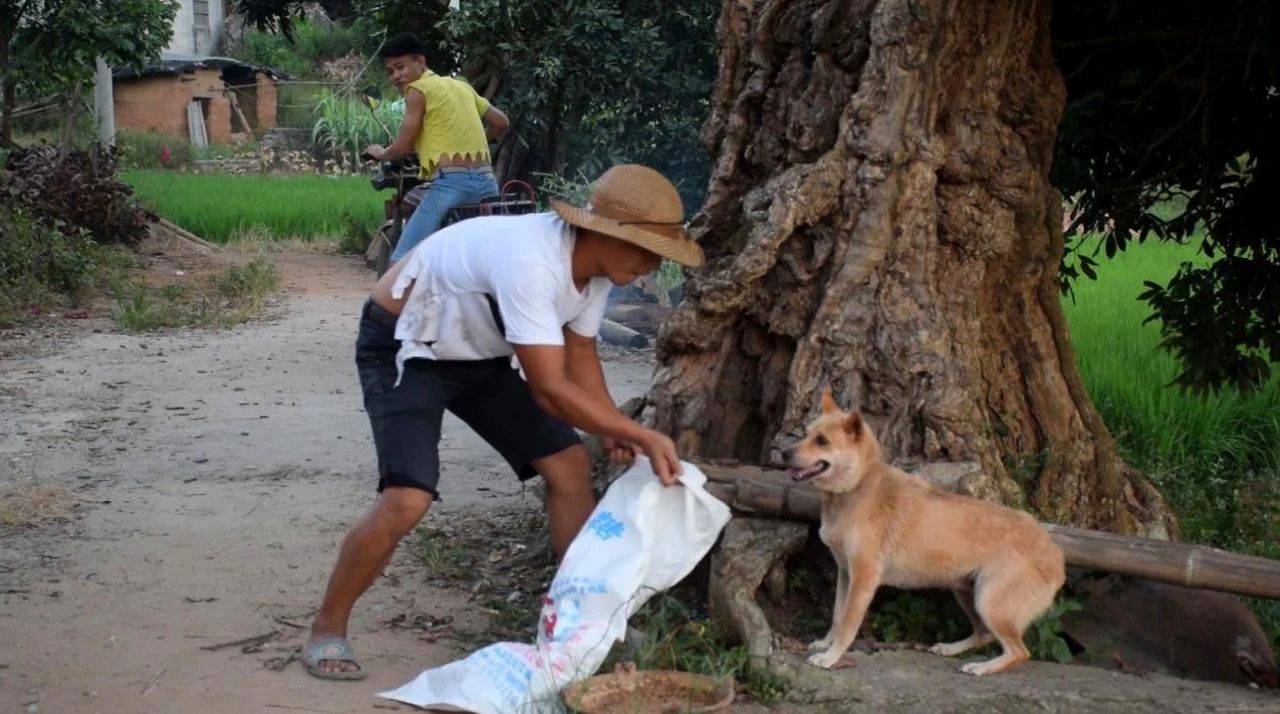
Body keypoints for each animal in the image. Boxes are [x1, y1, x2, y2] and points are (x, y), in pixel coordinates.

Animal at [783, 391, 1064, 675]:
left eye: (822, 441)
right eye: (806, 434)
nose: (785, 454)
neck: (857, 484)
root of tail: (1055, 553)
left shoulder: (863, 578)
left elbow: (848, 624)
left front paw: (830, 657)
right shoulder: (845, 573)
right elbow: (837, 616)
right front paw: (825, 644)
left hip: (989, 603)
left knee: (1019, 652)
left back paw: (981, 667)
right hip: (966, 592)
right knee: (983, 634)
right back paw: (951, 649)